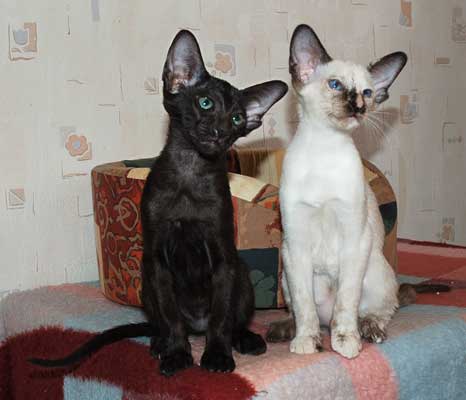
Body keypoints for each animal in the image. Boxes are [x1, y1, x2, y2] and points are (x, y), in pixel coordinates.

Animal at [30, 30, 288, 376]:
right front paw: (177, 354)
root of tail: (197, 326)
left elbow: (221, 317)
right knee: (164, 323)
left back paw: (245, 339)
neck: (190, 170)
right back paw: (160, 343)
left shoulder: (223, 260)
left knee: (231, 320)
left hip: (242, 273)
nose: (219, 132)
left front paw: (217, 356)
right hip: (146, 284)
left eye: (237, 118)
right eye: (205, 102)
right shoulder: (157, 262)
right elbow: (171, 317)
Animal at [272, 23, 406, 358]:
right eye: (335, 85)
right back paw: (285, 330)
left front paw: (345, 343)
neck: (325, 147)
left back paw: (369, 330)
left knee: (373, 310)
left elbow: (345, 305)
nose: (358, 107)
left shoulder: (354, 239)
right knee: (306, 313)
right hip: (287, 276)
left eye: (367, 93)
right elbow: (305, 307)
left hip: (375, 271)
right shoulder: (296, 243)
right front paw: (305, 343)